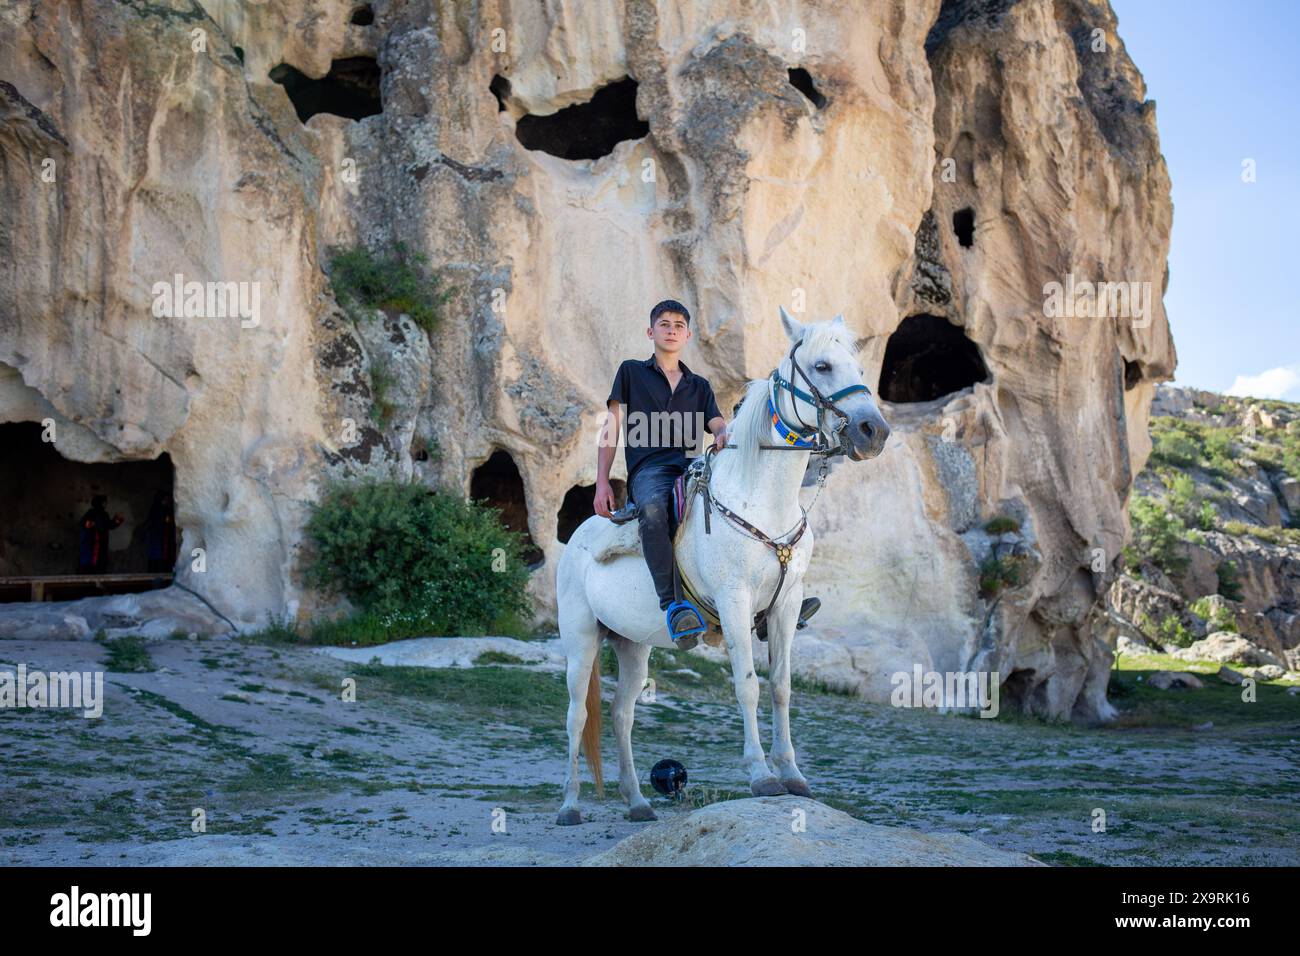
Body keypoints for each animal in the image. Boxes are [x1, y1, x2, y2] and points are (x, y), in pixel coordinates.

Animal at [553, 307, 891, 825]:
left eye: (856, 366)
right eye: (822, 366)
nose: (874, 432)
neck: (762, 501)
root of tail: (580, 534)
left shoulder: (787, 607)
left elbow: (781, 687)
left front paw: (793, 774)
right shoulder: (735, 602)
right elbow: (748, 686)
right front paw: (761, 775)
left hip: (632, 646)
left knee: (620, 714)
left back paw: (637, 802)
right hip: (581, 639)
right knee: (578, 715)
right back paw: (570, 805)